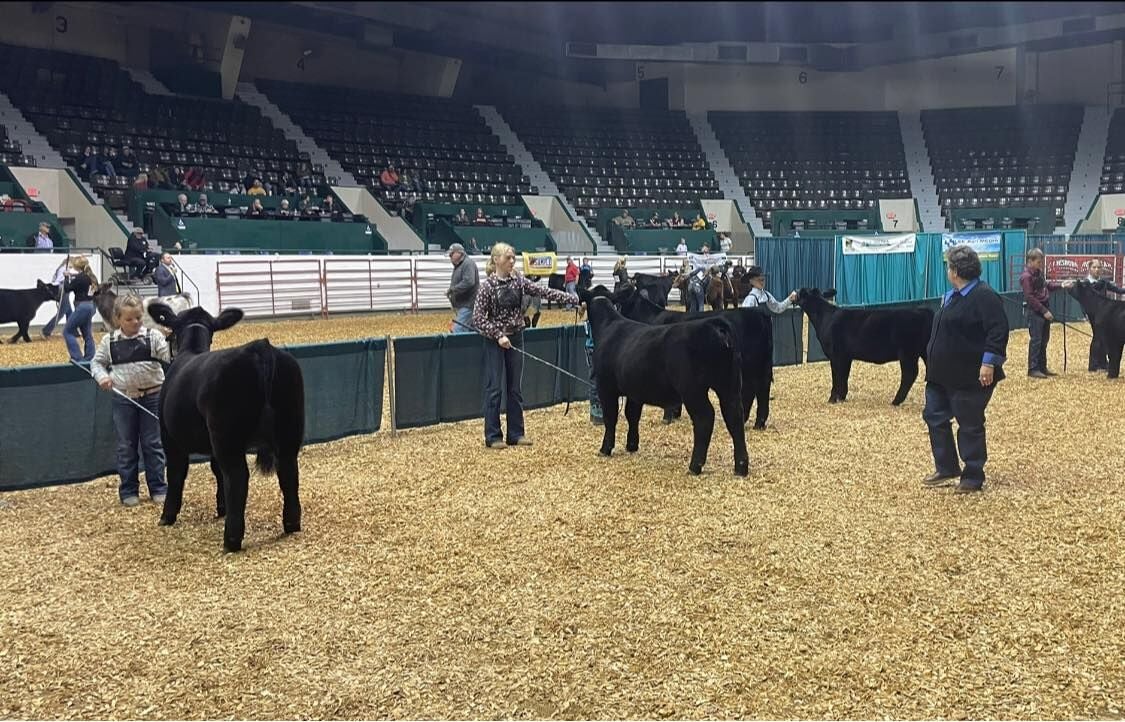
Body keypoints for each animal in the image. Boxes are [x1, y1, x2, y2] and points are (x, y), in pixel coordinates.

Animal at [149, 301, 310, 551]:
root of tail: (260, 348)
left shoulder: (169, 436)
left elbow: (176, 474)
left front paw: (167, 516)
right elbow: (216, 470)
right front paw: (221, 508)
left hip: (227, 437)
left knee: (237, 476)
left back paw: (231, 540)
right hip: (289, 429)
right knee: (288, 471)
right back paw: (291, 524)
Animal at [580, 290, 747, 474]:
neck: (608, 326)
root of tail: (715, 324)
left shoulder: (605, 387)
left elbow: (610, 418)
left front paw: (605, 448)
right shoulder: (634, 391)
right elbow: (632, 415)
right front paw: (632, 445)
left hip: (693, 390)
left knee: (705, 418)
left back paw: (695, 466)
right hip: (729, 386)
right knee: (734, 416)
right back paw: (741, 467)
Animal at [796, 286, 936, 404]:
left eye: (802, 292)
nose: (795, 293)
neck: (825, 317)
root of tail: (924, 311)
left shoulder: (836, 355)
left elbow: (836, 377)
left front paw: (832, 399)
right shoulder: (846, 357)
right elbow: (844, 376)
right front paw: (842, 397)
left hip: (907, 352)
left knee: (909, 374)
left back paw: (896, 401)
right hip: (923, 351)